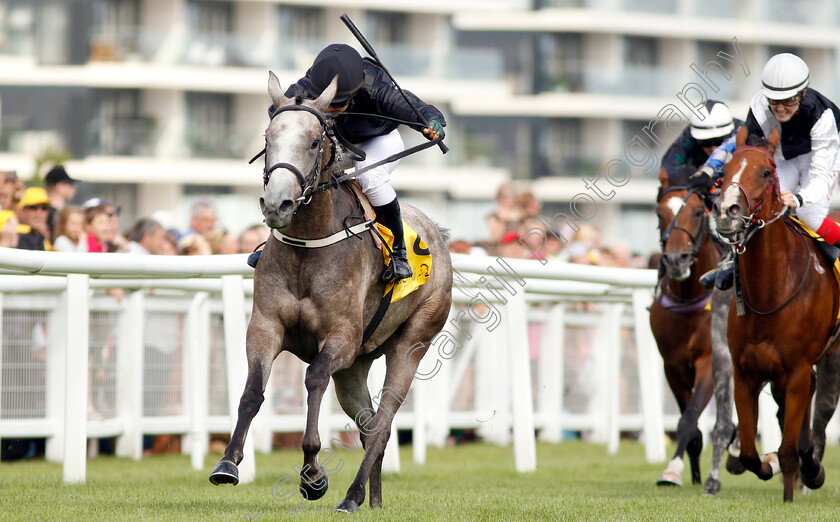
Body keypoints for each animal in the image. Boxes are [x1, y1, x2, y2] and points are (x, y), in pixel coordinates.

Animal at [209, 71, 452, 510]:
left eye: (313, 141)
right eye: (268, 137)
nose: (277, 204)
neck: (309, 244)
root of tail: (437, 235)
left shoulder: (341, 337)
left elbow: (314, 378)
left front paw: (312, 474)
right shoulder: (265, 327)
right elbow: (252, 391)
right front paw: (228, 463)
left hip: (413, 342)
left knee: (384, 423)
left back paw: (351, 496)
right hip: (357, 364)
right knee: (369, 425)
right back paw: (371, 500)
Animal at [712, 126, 840, 500]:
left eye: (766, 173)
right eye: (724, 172)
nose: (726, 211)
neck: (771, 295)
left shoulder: (797, 371)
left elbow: (788, 450)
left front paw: (793, 490)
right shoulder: (745, 373)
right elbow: (749, 452)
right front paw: (762, 465)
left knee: (820, 411)